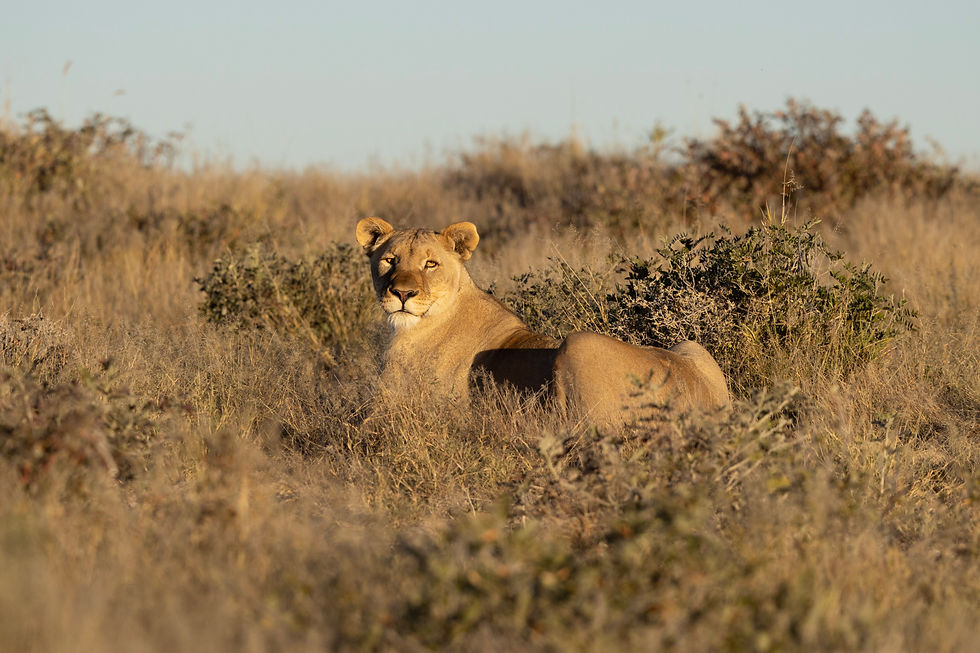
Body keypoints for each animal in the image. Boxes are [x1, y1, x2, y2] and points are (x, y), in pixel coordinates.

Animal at [355, 217, 730, 425]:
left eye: (430, 264)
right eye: (390, 260)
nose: (402, 293)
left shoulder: (394, 411)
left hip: (580, 343)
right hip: (690, 346)